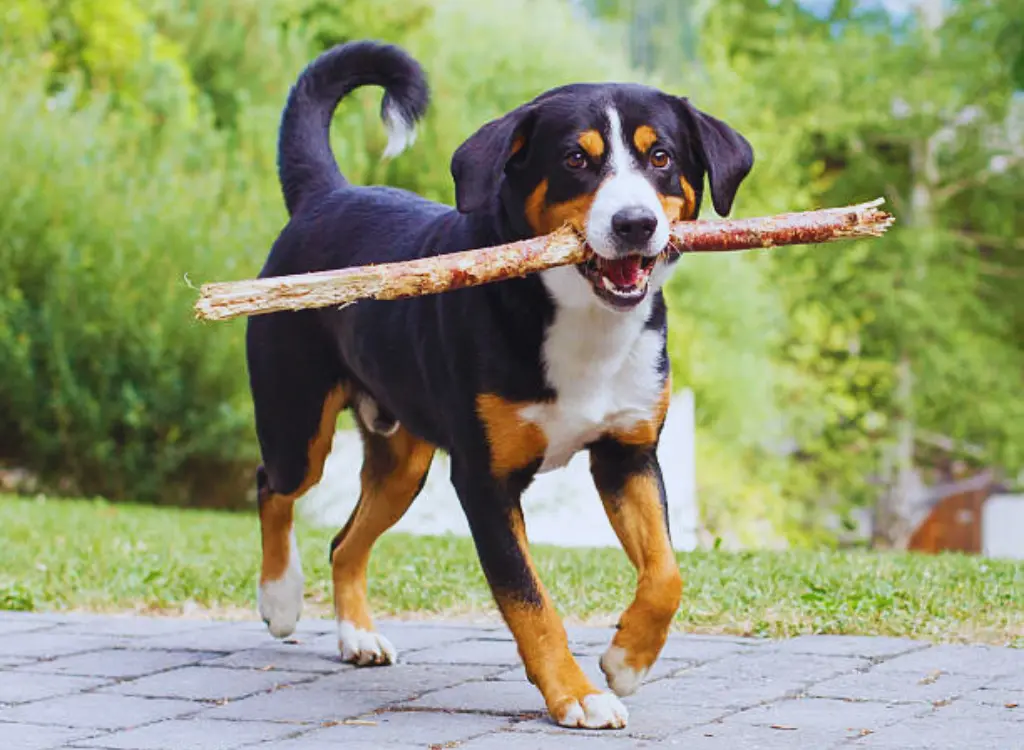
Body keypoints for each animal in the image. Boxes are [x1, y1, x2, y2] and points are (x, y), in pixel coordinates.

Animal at [247, 39, 753, 725]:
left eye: (661, 157)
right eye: (575, 158)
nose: (634, 224)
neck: (582, 323)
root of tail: (326, 196)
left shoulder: (628, 455)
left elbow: (666, 574)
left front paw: (627, 659)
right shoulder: (484, 481)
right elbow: (529, 600)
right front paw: (577, 695)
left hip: (403, 462)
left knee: (345, 542)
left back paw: (357, 636)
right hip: (297, 423)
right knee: (272, 486)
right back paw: (280, 597)